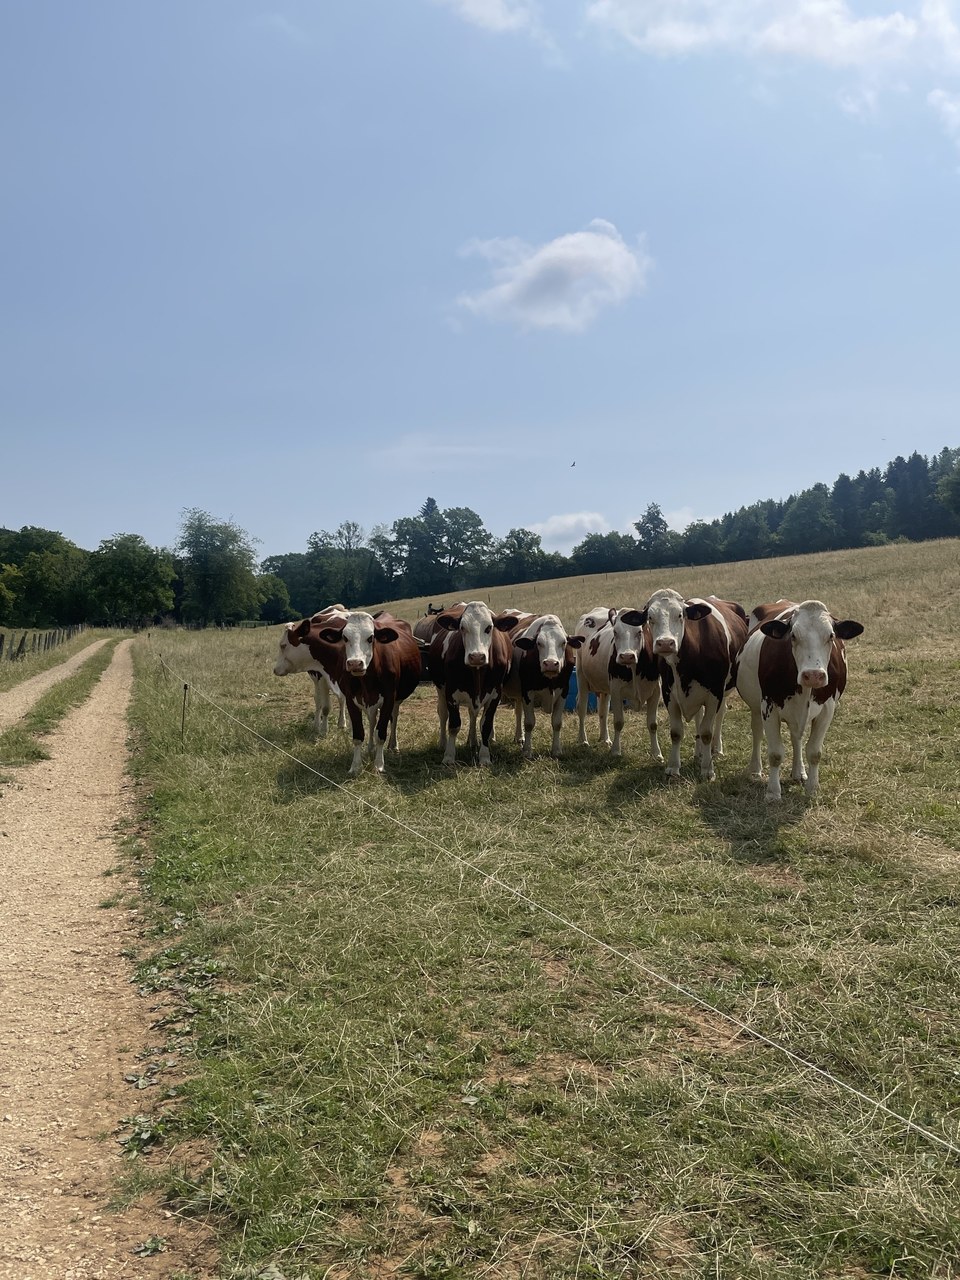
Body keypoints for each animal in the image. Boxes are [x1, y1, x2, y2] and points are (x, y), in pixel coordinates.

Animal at [273, 610, 421, 775]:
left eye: (371, 637)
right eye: (345, 637)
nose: (355, 663)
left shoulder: (389, 698)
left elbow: (381, 733)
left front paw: (379, 765)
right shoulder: (348, 696)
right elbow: (357, 733)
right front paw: (356, 766)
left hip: (396, 699)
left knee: (393, 718)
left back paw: (393, 745)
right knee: (370, 718)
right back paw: (369, 747)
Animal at [426, 601, 523, 765]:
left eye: (489, 627)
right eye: (462, 628)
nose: (476, 656)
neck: (477, 672)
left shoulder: (495, 695)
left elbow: (485, 725)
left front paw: (484, 756)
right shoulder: (451, 694)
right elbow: (454, 725)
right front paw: (449, 756)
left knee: (472, 715)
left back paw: (472, 741)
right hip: (440, 689)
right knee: (443, 714)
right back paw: (443, 743)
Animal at [501, 614, 583, 758]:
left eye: (563, 642)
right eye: (539, 643)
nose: (550, 663)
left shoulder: (564, 690)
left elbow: (557, 722)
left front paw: (556, 750)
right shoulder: (528, 691)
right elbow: (529, 722)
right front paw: (527, 751)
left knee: (518, 711)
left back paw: (519, 737)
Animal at [620, 590, 748, 781]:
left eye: (680, 615)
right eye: (650, 617)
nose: (665, 643)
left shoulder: (714, 694)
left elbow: (707, 732)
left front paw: (707, 769)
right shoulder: (669, 694)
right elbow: (676, 732)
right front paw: (673, 767)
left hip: (723, 691)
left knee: (718, 717)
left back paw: (716, 749)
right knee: (699, 719)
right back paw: (699, 753)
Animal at [736, 599, 864, 801]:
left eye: (831, 635)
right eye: (793, 636)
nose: (813, 675)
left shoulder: (827, 709)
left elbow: (814, 752)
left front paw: (812, 788)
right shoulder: (769, 706)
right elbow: (775, 754)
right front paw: (773, 792)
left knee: (796, 737)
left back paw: (799, 772)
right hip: (756, 707)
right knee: (757, 732)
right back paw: (755, 770)